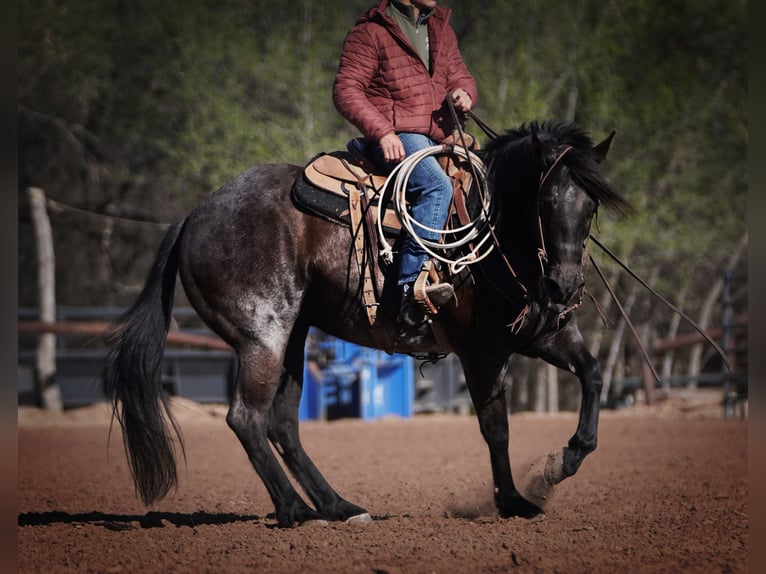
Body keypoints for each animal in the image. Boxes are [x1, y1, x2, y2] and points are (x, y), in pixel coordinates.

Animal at [103, 119, 632, 528]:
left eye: (590, 205)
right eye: (545, 203)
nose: (565, 287)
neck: (495, 235)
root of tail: (194, 216)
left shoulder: (542, 333)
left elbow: (592, 373)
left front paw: (564, 461)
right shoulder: (481, 351)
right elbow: (495, 428)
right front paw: (513, 501)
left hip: (293, 338)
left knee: (283, 424)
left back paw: (339, 506)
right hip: (263, 337)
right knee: (247, 419)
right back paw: (297, 510)